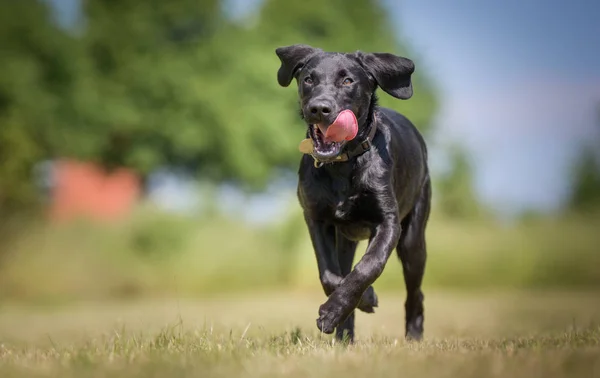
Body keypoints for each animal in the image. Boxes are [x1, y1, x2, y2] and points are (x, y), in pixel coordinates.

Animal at [276, 44, 432, 342]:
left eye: (347, 81)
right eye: (308, 79)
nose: (319, 109)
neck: (343, 164)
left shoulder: (388, 222)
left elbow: (369, 266)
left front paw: (334, 311)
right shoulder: (316, 219)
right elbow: (330, 275)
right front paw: (354, 304)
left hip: (413, 237)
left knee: (415, 293)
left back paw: (414, 336)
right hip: (346, 239)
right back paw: (345, 335)